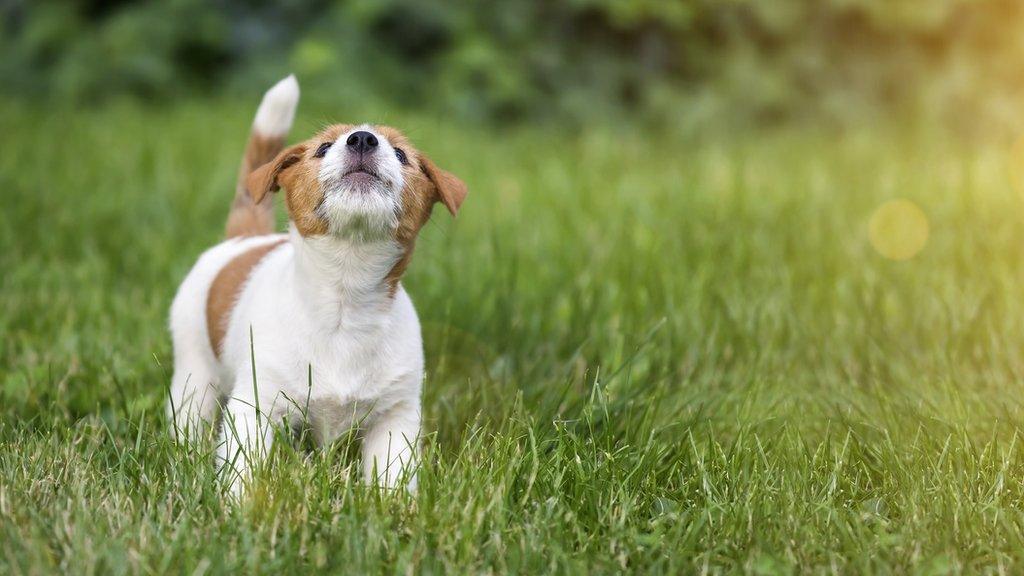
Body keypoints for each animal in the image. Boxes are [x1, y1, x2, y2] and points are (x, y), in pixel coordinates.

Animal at [164, 73, 468, 491]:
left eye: (401, 154)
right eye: (323, 147)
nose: (362, 138)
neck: (344, 299)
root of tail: (244, 238)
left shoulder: (395, 418)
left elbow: (391, 476)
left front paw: (394, 506)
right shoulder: (255, 406)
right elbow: (244, 468)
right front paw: (240, 503)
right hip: (194, 369)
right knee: (189, 414)